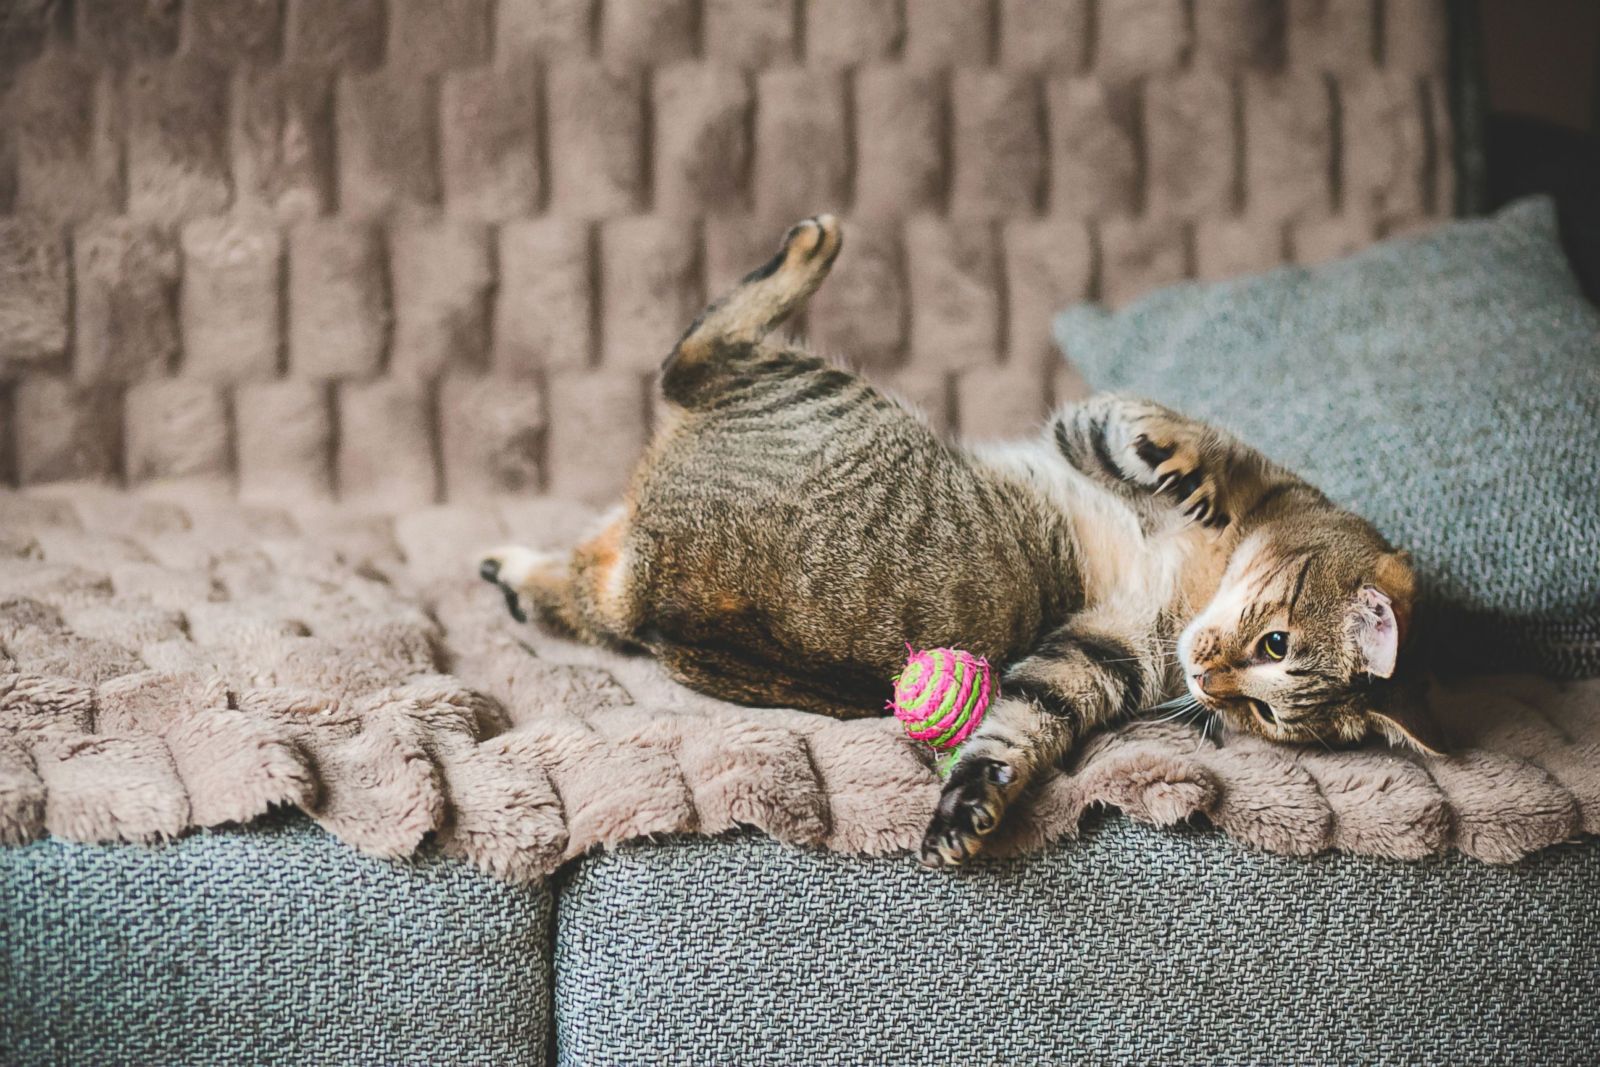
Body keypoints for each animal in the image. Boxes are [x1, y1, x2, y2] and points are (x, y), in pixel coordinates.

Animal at [476, 214, 1440, 870]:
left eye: (1267, 714)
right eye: (1275, 642)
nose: (1209, 681)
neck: (1198, 586)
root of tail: (659, 595)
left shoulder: (1093, 658)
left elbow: (1016, 729)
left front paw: (972, 806)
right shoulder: (1111, 432)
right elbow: (1164, 432)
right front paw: (1181, 466)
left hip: (792, 403)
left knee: (672, 397)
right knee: (684, 363)